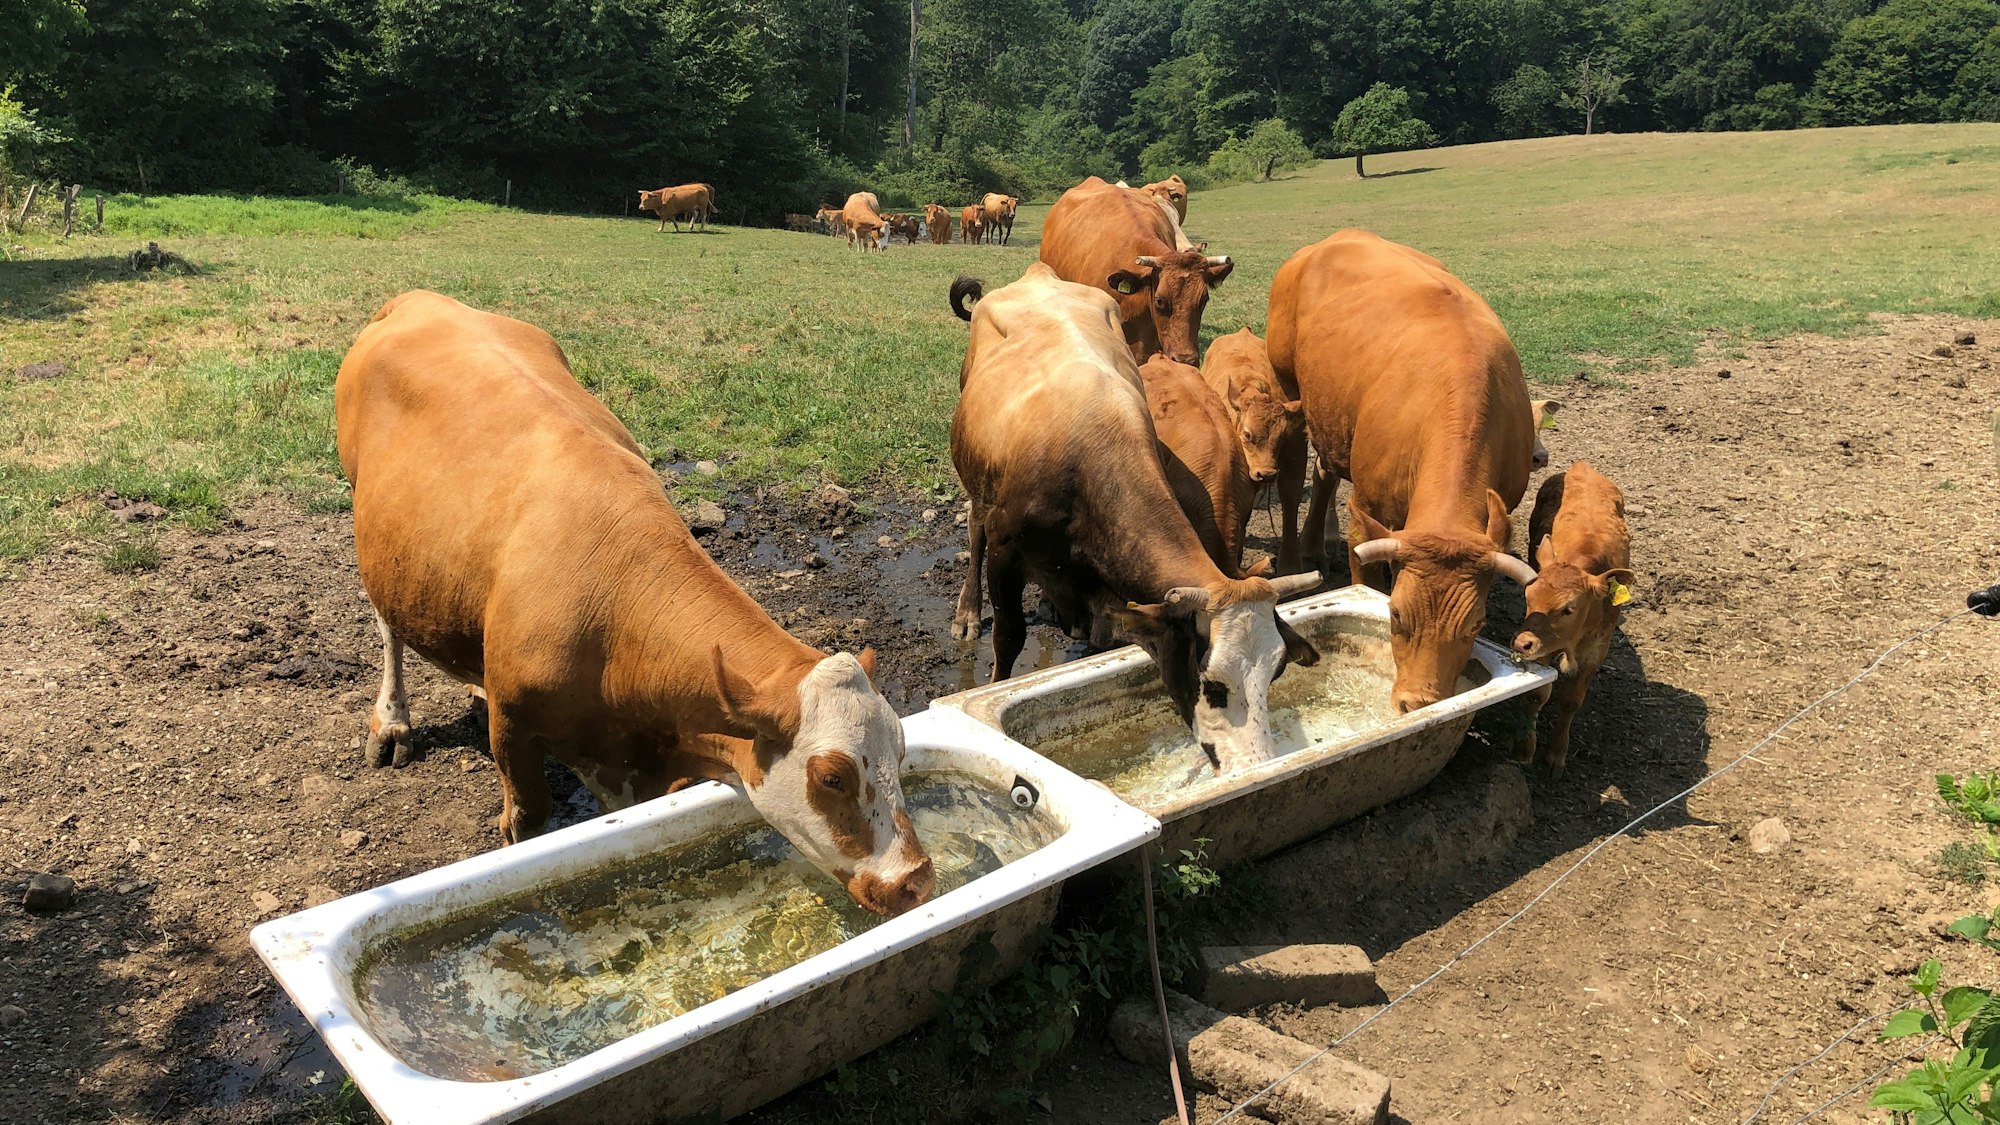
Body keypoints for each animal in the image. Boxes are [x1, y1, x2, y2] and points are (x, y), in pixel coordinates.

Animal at [335, 290, 934, 917]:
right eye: (833, 778)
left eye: (900, 753)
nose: (916, 881)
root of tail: (420, 299)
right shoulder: (515, 731)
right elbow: (527, 822)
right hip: (367, 517)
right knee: (388, 628)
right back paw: (391, 723)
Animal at [1266, 229, 1538, 715]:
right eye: (1394, 613)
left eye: (1476, 625)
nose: (1417, 702)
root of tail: (1336, 238)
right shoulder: (1367, 514)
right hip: (1288, 391)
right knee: (1294, 476)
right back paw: (1295, 559)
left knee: (1324, 471)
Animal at [1511, 461, 1634, 774]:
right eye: (1528, 597)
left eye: (1569, 608)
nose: (1521, 643)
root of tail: (1583, 467)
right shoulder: (1543, 647)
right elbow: (1537, 694)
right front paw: (1524, 749)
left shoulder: (1595, 651)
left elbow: (1571, 700)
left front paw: (1557, 753)